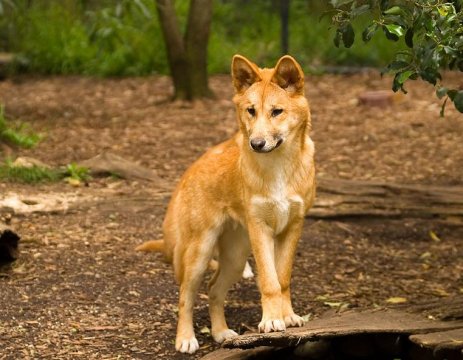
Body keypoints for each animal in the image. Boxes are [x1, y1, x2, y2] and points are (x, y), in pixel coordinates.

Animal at [136, 54, 318, 352]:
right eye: (251, 111)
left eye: (276, 111)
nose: (257, 143)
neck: (278, 167)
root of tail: (190, 170)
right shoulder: (260, 229)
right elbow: (269, 282)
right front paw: (271, 321)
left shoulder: (293, 226)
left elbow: (282, 279)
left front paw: (288, 316)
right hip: (199, 254)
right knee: (185, 296)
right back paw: (185, 339)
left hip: (234, 258)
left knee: (213, 290)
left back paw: (221, 333)